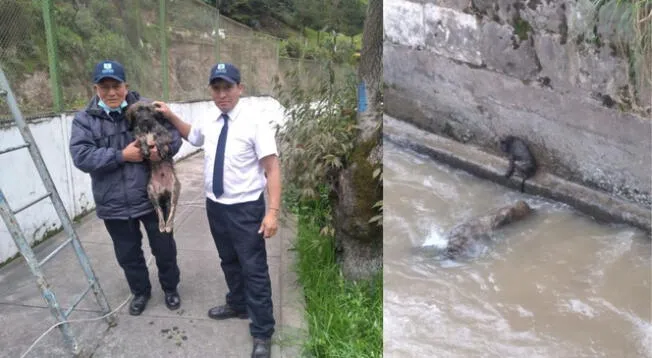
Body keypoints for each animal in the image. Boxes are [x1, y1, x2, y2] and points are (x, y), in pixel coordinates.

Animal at [126, 101, 181, 235]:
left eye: (149, 110)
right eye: (138, 111)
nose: (146, 119)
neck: (147, 129)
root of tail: (164, 189)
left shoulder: (166, 134)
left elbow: (159, 139)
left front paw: (161, 149)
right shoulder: (137, 137)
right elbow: (141, 139)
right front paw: (145, 149)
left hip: (174, 189)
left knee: (172, 208)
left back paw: (169, 225)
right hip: (151, 193)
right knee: (159, 210)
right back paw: (162, 225)